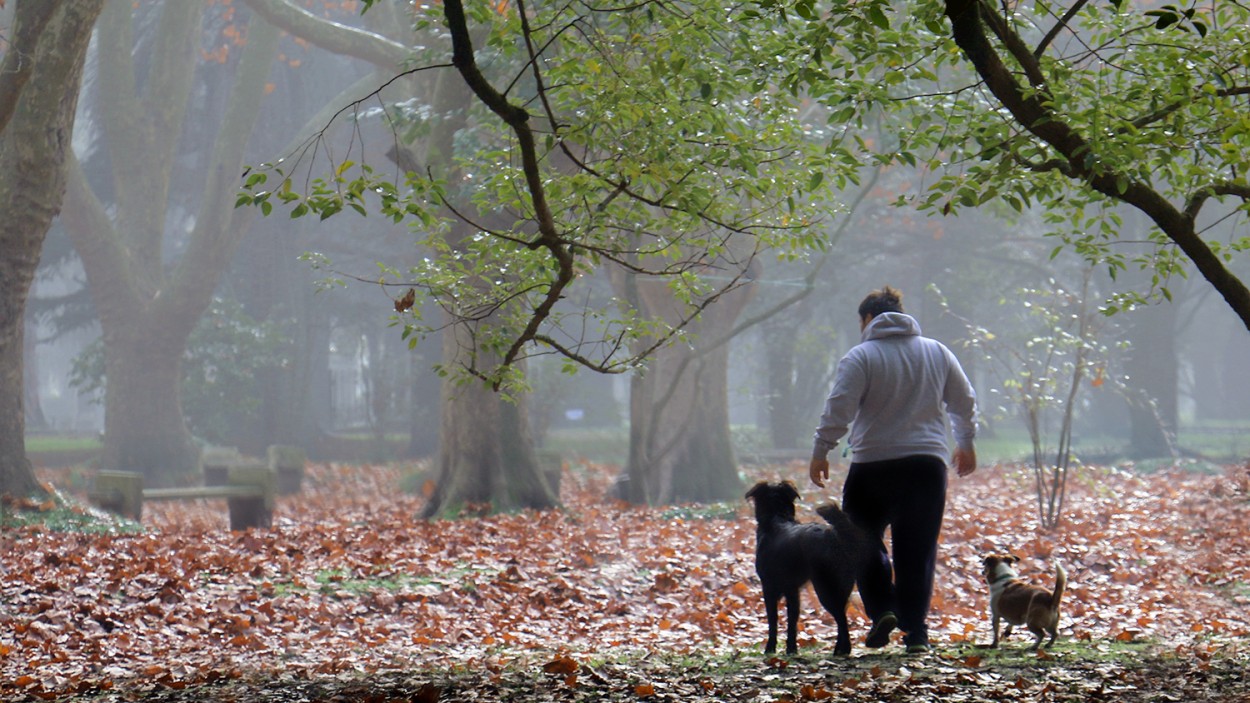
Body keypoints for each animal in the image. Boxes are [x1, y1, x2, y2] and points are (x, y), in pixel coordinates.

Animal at [740, 477, 870, 655]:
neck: (778, 517)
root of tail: (835, 536)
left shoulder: (769, 588)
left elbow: (773, 621)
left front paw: (770, 648)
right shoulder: (793, 591)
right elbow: (792, 621)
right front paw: (791, 649)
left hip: (825, 588)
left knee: (841, 618)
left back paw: (843, 650)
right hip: (843, 586)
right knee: (842, 615)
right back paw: (839, 648)